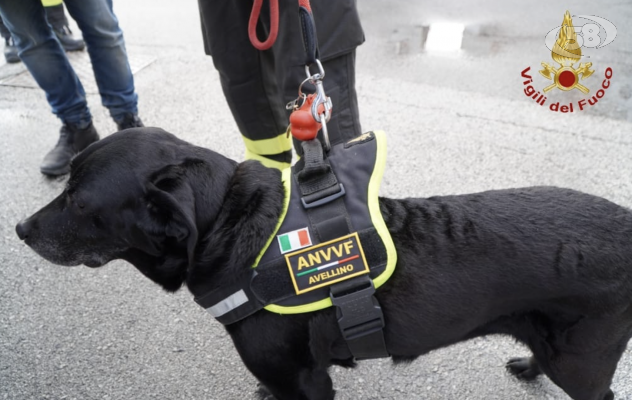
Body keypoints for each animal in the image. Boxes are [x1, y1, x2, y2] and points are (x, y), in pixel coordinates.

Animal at [13, 129, 632, 400]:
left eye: (78, 201)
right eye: (67, 185)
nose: (19, 230)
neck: (227, 224)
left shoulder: (305, 382)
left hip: (582, 363)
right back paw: (528, 365)